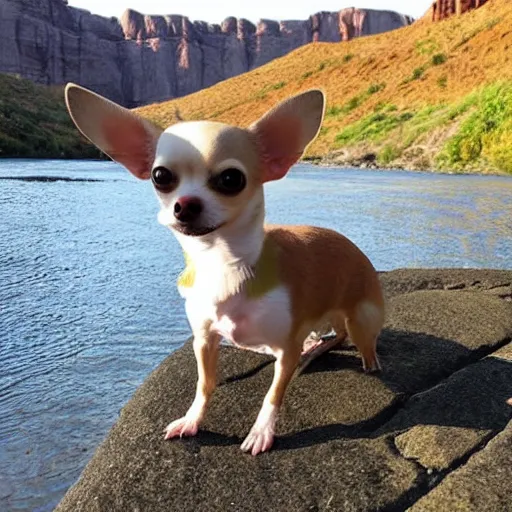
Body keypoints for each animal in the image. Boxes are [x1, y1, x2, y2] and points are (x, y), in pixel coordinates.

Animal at [65, 84, 384, 456]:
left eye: (232, 179)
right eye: (160, 177)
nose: (185, 204)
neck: (224, 264)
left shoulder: (285, 350)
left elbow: (272, 395)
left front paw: (261, 431)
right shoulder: (204, 340)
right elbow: (205, 383)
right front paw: (192, 420)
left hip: (361, 318)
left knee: (358, 341)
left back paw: (357, 357)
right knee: (333, 333)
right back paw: (314, 345)